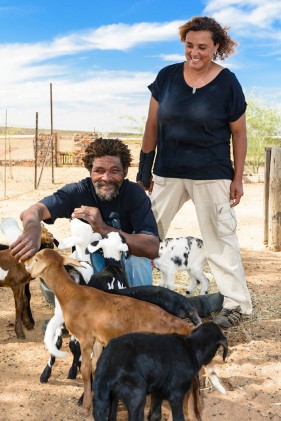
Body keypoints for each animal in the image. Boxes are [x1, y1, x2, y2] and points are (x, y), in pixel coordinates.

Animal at [25, 248, 192, 416]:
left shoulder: (85, 339)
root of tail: (182, 324)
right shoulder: (98, 340)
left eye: (37, 258)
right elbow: (95, 367)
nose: (26, 265)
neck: (72, 294)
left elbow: (85, 371)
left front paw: (86, 406)